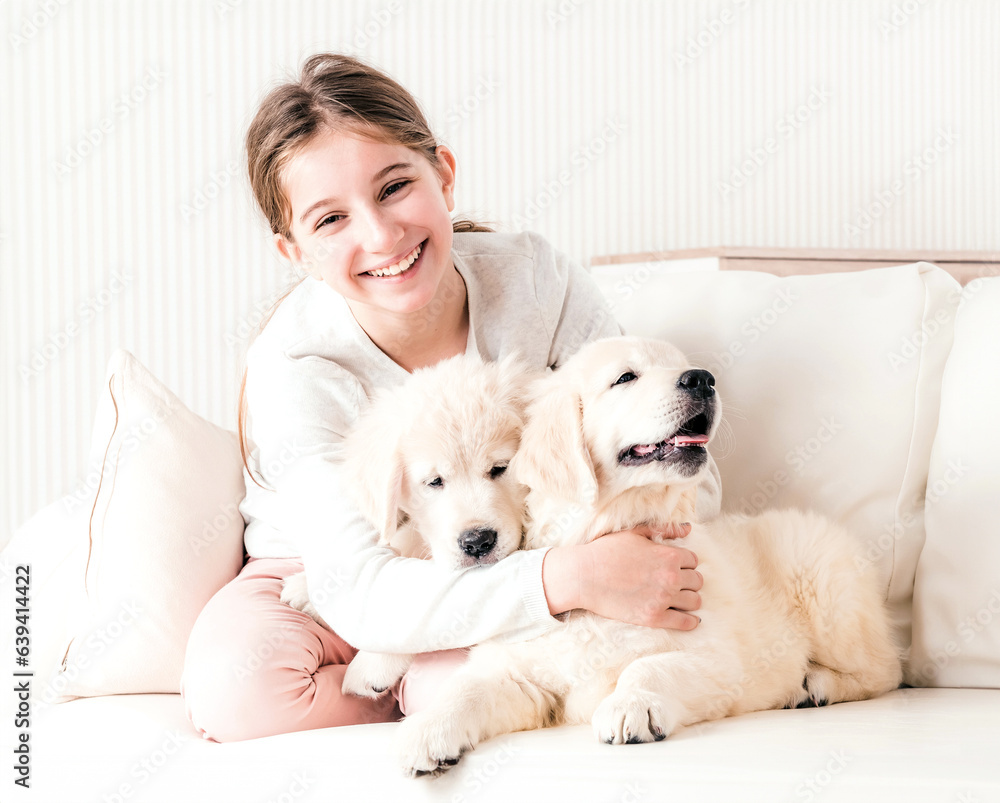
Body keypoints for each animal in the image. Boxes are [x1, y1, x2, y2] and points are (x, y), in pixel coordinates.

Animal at [394, 334, 904, 780]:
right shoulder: (517, 675)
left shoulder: (720, 659)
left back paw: (815, 685)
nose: (703, 378)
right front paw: (427, 730)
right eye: (626, 377)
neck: (611, 529)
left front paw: (630, 704)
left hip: (823, 584)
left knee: (886, 670)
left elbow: (648, 665)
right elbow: (468, 689)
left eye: (683, 366)